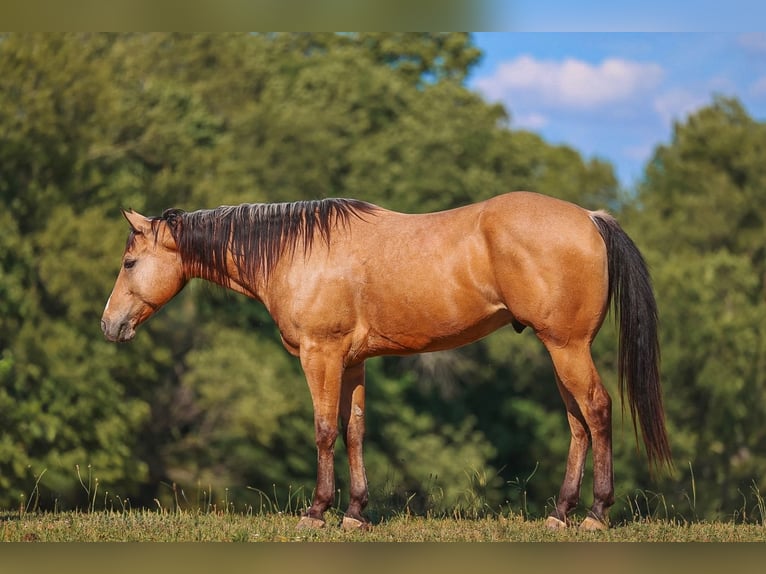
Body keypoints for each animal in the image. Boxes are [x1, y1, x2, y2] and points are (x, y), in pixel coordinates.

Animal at [101, 191, 672, 530]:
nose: (109, 325)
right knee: (577, 424)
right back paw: (560, 513)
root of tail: (591, 219)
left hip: (567, 347)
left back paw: (596, 513)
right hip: (558, 351)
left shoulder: (321, 356)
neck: (297, 252)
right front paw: (354, 513)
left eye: (129, 262)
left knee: (597, 411)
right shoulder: (352, 362)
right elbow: (353, 430)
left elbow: (323, 430)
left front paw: (317, 511)